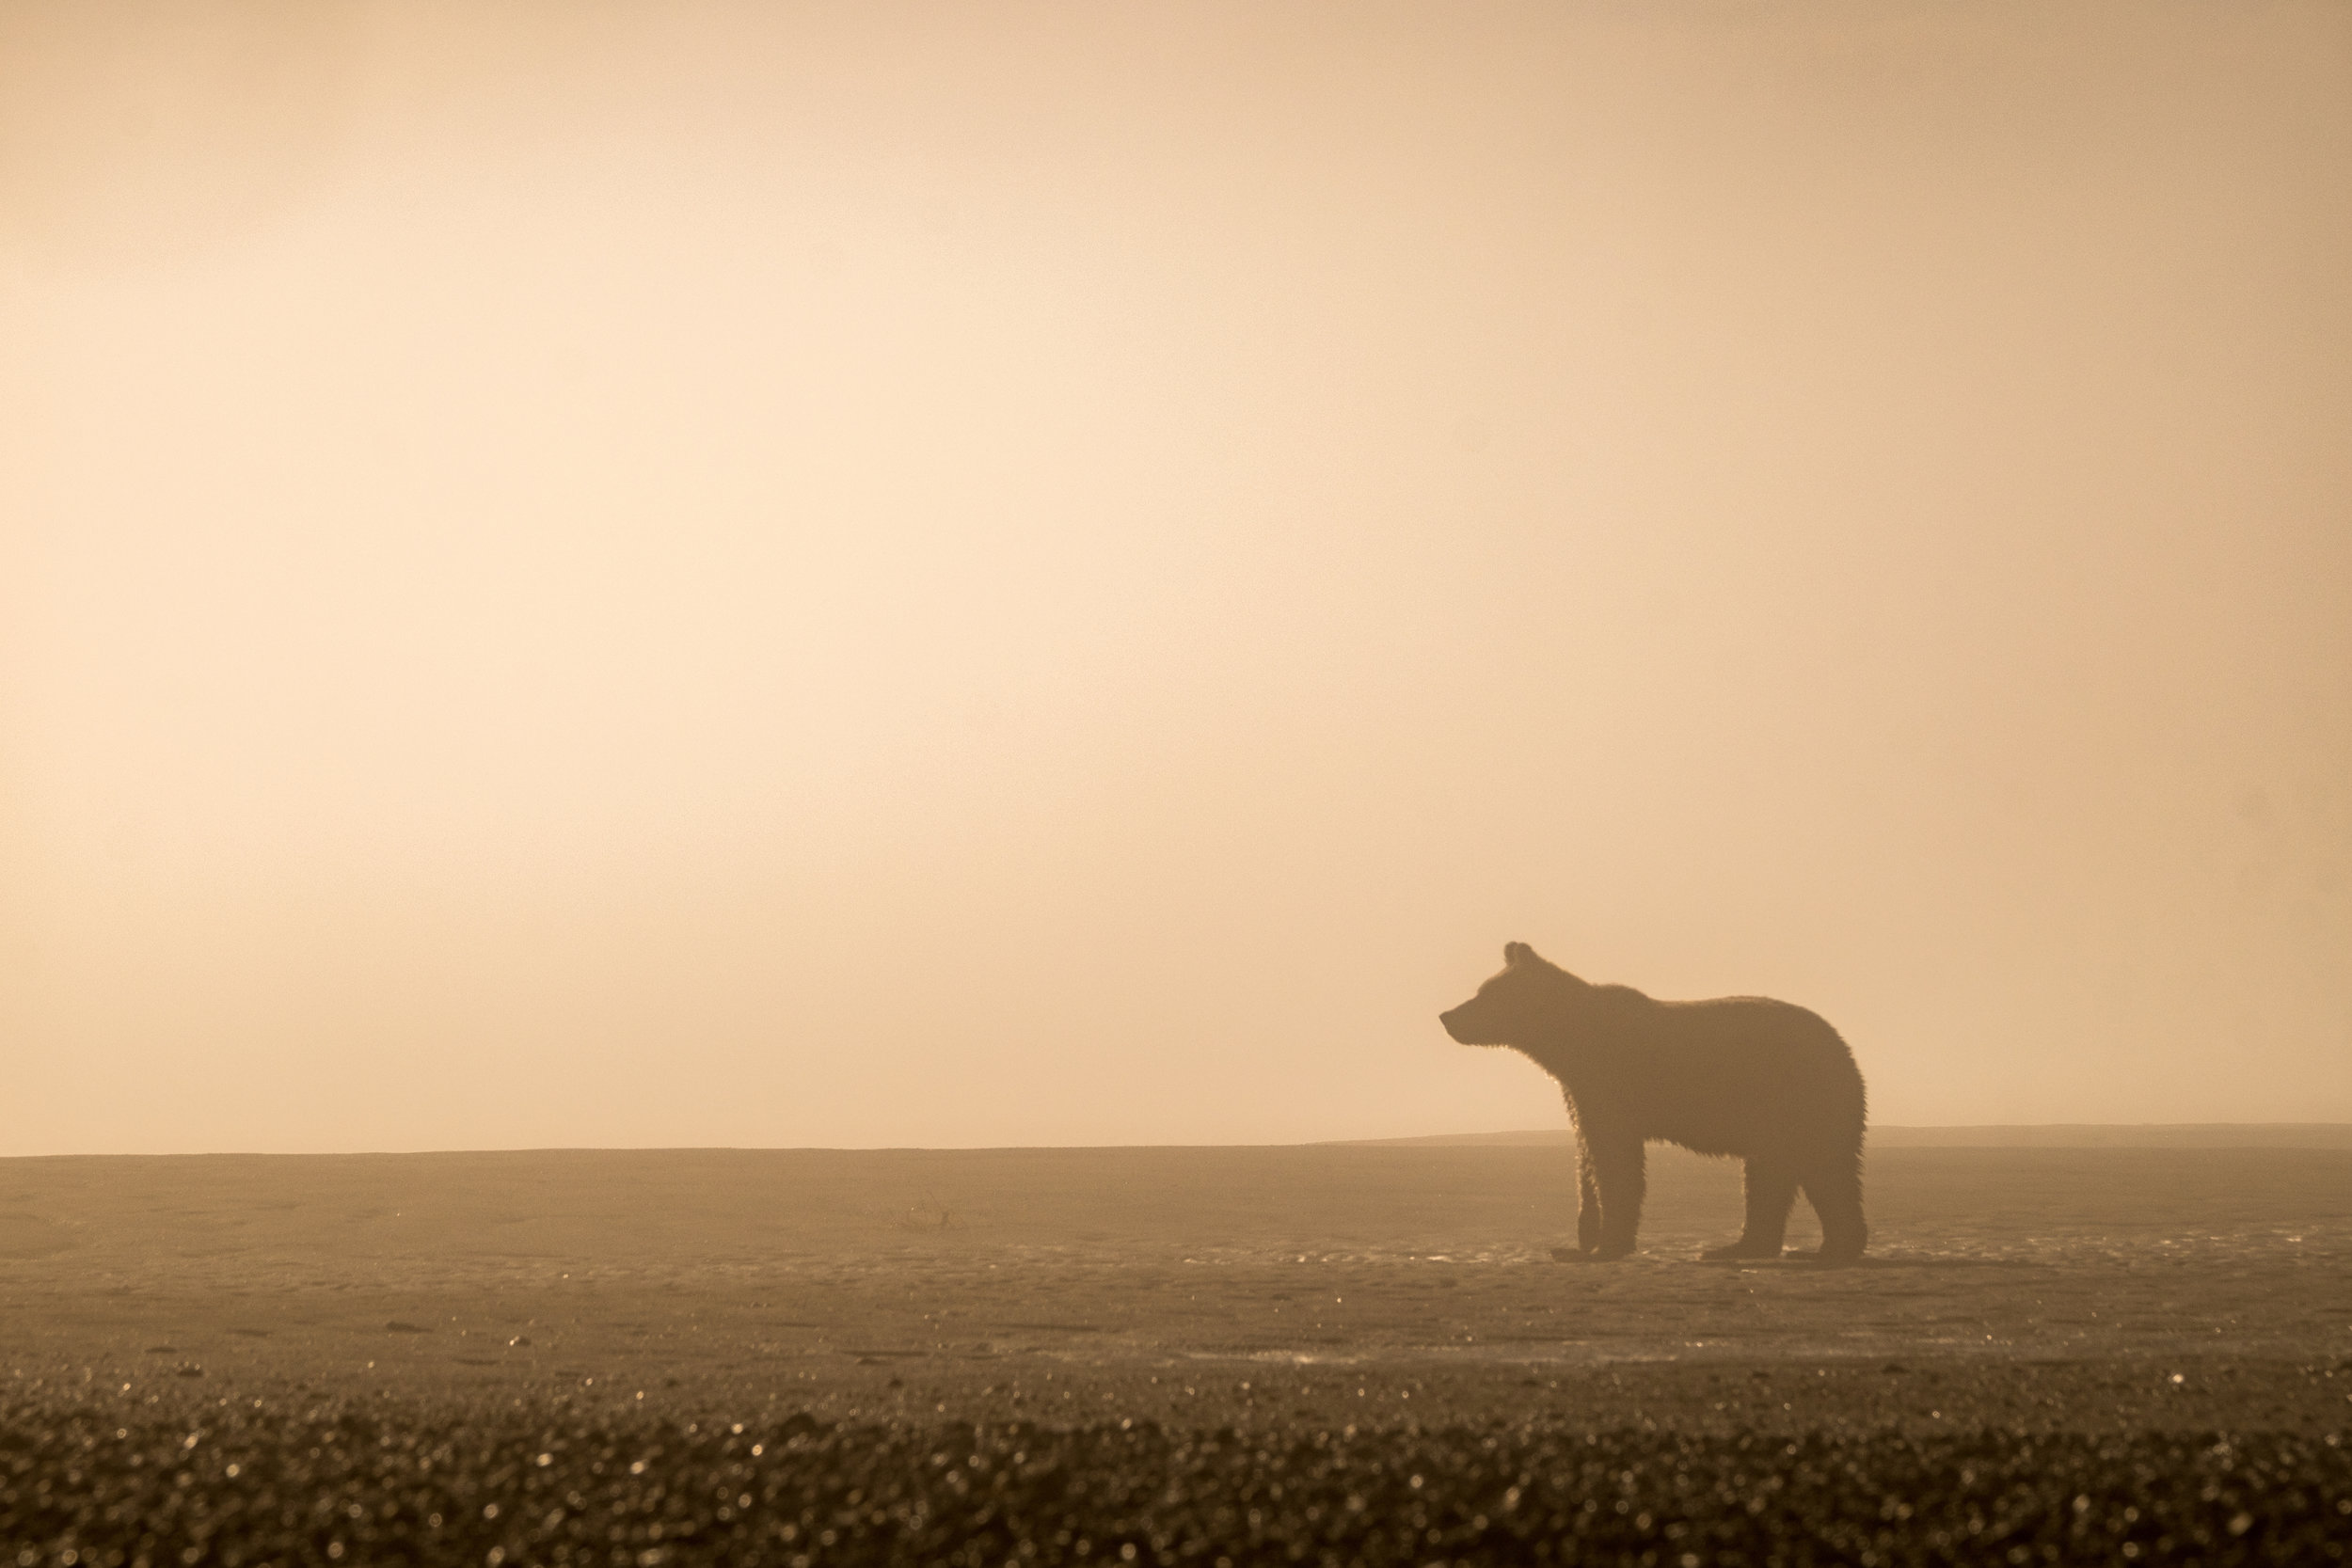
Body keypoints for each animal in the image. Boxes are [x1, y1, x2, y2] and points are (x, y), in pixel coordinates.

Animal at [1430, 944, 1872, 1259]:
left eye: (1485, 993)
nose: (1447, 1016)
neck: (1567, 1042)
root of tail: (1843, 1048)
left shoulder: (1608, 1084)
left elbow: (1614, 1160)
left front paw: (1604, 1245)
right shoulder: (1578, 1090)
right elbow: (1586, 1156)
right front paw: (1577, 1241)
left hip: (1794, 1098)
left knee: (1800, 1170)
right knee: (1803, 1172)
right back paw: (1789, 1246)